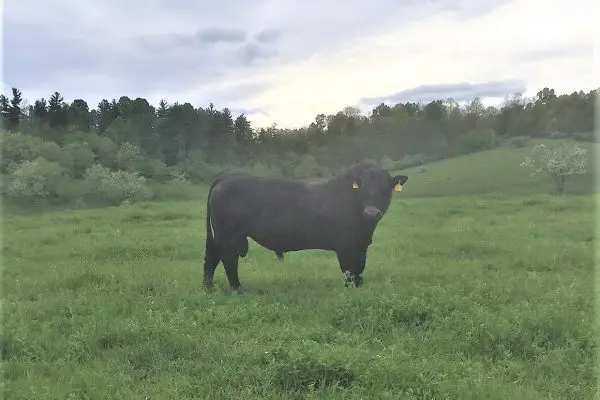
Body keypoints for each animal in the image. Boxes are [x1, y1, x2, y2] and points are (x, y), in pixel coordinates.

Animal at [203, 162, 408, 290]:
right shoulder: (345, 246)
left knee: (212, 257)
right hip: (228, 236)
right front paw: (351, 288)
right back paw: (237, 289)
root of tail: (227, 177)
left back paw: (209, 287)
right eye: (363, 188)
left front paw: (359, 285)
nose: (372, 213)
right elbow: (349, 269)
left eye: (384, 189)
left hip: (221, 236)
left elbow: (359, 268)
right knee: (228, 259)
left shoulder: (361, 245)